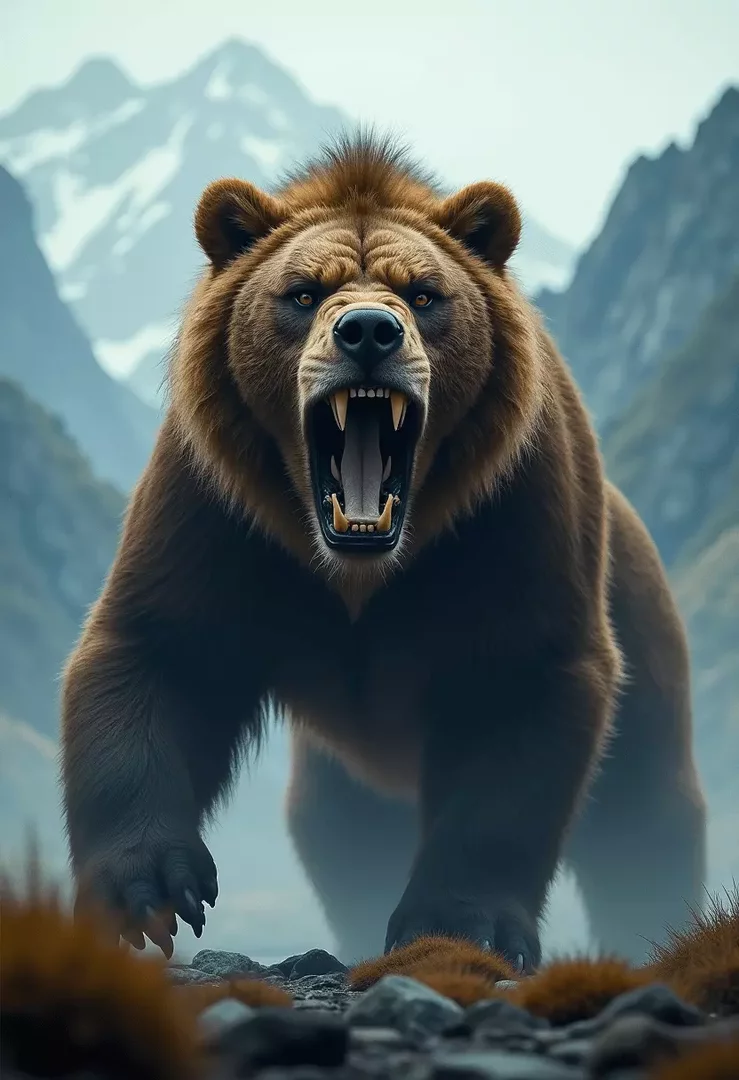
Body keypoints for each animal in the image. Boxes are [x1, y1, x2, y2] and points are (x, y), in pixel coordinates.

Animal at [59, 133, 706, 970]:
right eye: (303, 292)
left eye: (424, 294)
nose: (368, 331)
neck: (361, 567)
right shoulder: (218, 513)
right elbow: (159, 650)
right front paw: (150, 887)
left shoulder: (513, 516)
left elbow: (518, 696)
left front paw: (463, 921)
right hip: (340, 778)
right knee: (343, 842)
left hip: (644, 636)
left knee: (646, 819)